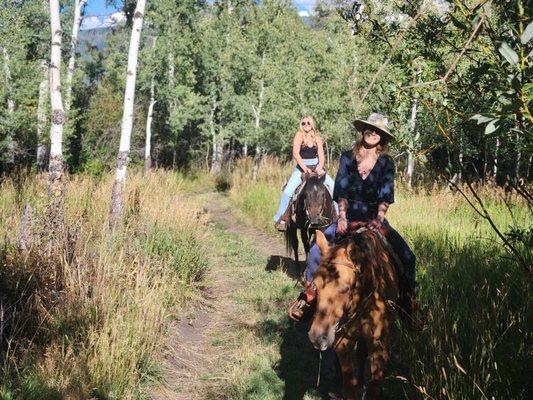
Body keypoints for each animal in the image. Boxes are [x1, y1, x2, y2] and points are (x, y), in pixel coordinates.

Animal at [306, 230, 396, 398]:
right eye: (315, 286)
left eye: (345, 288)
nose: (317, 338)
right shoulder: (343, 343)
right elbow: (349, 386)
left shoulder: (379, 346)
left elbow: (373, 388)